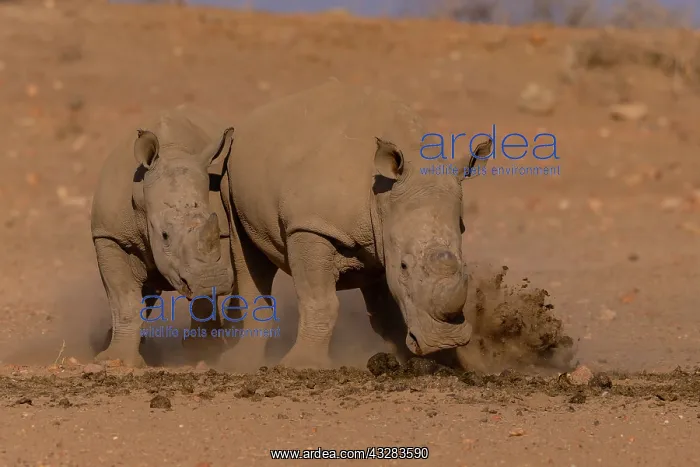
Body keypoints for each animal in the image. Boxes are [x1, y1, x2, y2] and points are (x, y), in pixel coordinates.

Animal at [91, 106, 236, 367]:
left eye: (214, 225)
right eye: (165, 235)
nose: (213, 282)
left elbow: (203, 298)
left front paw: (205, 351)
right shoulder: (108, 235)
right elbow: (124, 298)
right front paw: (116, 361)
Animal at [218, 80, 490, 371]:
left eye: (463, 264)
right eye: (404, 266)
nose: (445, 341)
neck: (383, 197)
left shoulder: (383, 233)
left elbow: (386, 310)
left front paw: (432, 362)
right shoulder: (311, 225)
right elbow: (320, 300)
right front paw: (302, 366)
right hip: (229, 174)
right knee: (247, 255)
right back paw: (238, 363)